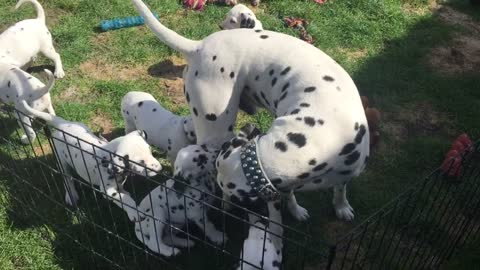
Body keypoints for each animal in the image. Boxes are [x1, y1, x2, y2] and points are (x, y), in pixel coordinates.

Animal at [19, 100, 162, 223]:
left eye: (150, 151)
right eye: (140, 162)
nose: (160, 169)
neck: (106, 157)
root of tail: (62, 124)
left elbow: (123, 191)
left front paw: (125, 192)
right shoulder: (107, 190)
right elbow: (125, 199)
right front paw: (135, 213)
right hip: (61, 160)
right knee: (67, 179)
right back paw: (71, 195)